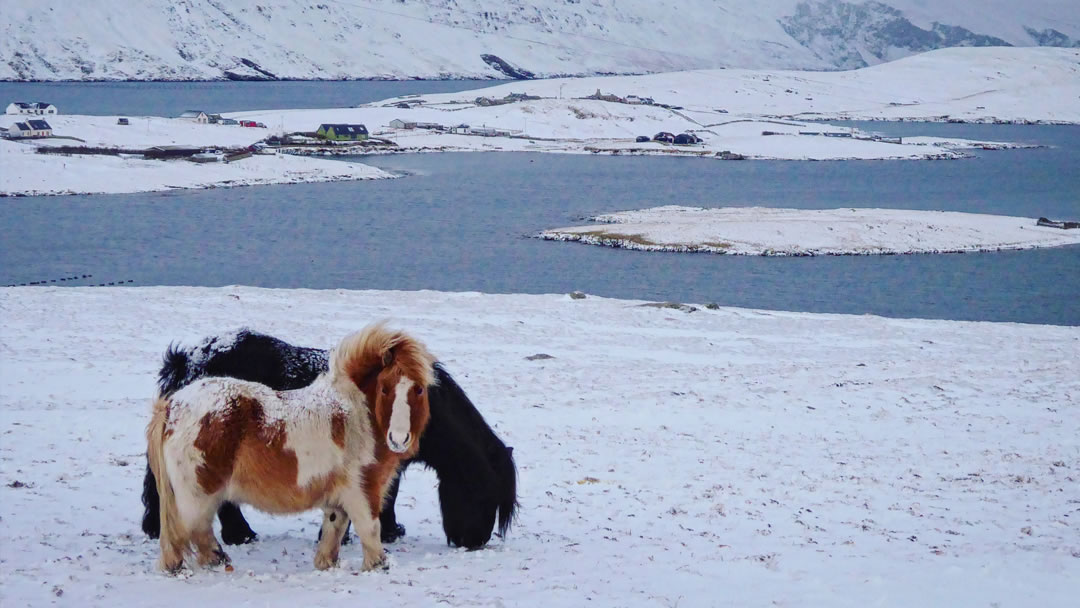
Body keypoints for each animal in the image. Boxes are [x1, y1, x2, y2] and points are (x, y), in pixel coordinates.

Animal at [142, 330, 518, 548]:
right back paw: (240, 535)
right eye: (483, 493)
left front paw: (388, 530)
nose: (473, 542)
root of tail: (186, 360)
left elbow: (388, 494)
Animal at [145, 323, 436, 574]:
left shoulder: (338, 501)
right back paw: (216, 560)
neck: (357, 414)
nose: (398, 439)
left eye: (419, 389)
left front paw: (326, 565)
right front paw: (378, 566)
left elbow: (333, 532)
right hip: (198, 494)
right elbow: (370, 529)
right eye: (385, 389)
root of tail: (173, 406)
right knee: (194, 530)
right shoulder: (362, 491)